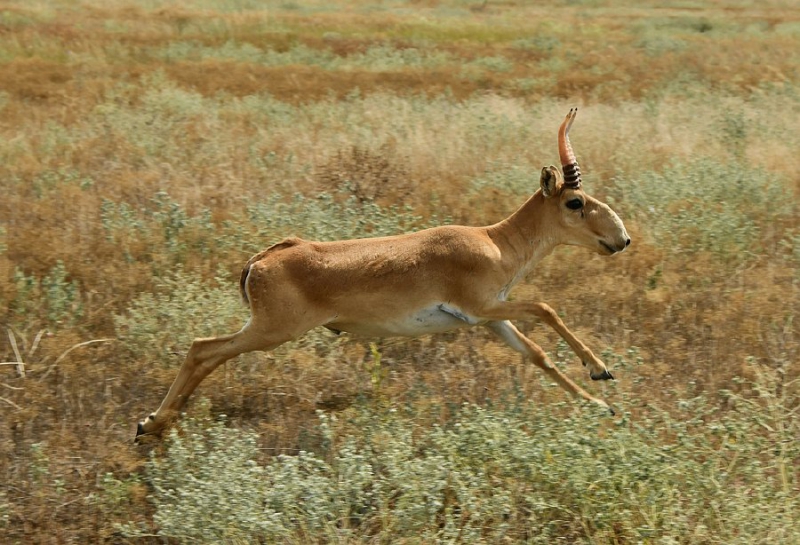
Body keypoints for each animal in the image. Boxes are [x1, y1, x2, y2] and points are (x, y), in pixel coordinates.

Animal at [136, 109, 632, 438]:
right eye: (575, 202)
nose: (621, 239)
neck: (494, 240)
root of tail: (262, 259)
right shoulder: (484, 306)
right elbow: (547, 308)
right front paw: (602, 370)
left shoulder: (490, 319)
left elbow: (537, 354)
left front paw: (600, 404)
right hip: (272, 331)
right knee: (203, 349)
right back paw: (151, 423)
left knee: (205, 352)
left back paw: (154, 424)